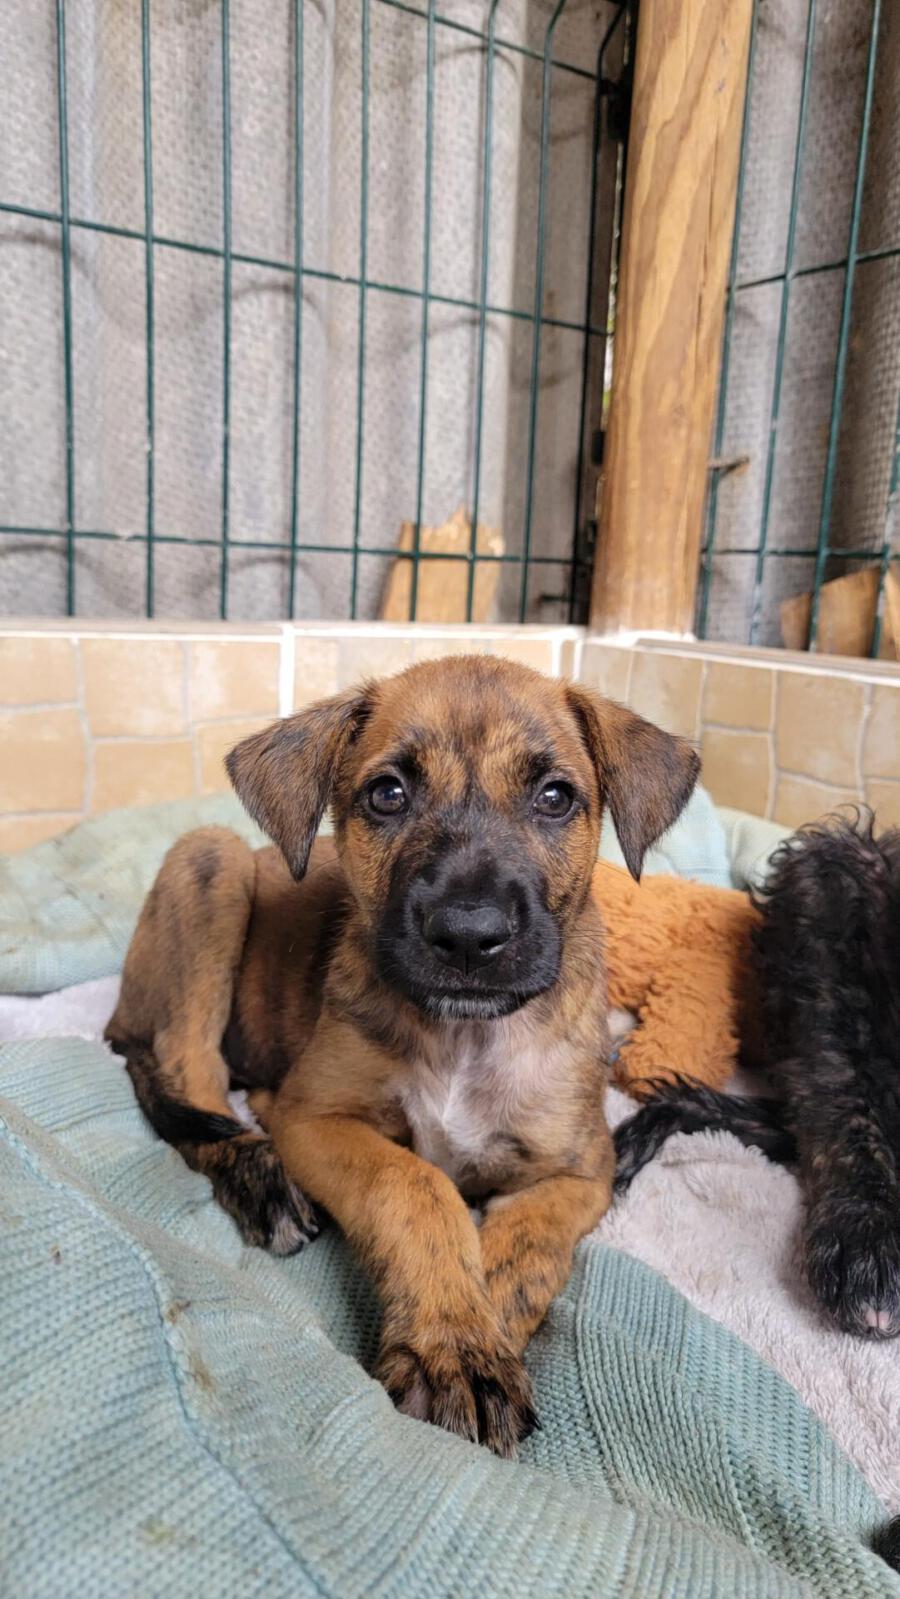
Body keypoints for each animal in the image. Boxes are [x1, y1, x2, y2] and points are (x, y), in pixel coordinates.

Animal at [107, 655, 699, 1455]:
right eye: (388, 794)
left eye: (554, 797)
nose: (470, 936)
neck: (464, 1037)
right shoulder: (316, 1118)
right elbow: (415, 1184)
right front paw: (450, 1341)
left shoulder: (583, 1170)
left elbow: (525, 1246)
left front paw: (480, 1329)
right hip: (210, 860)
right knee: (188, 1072)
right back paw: (261, 1177)